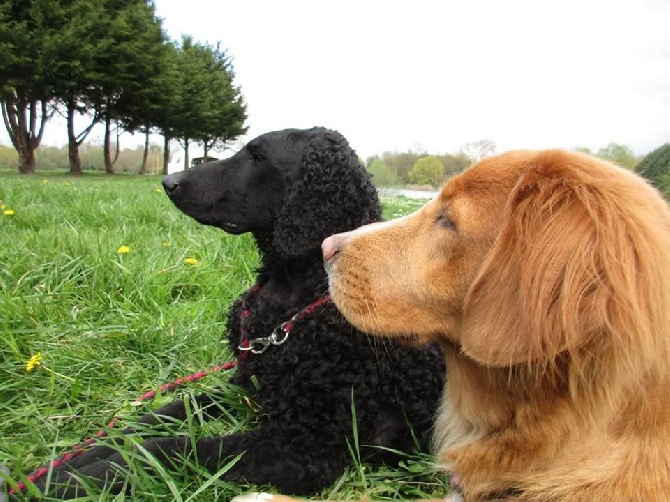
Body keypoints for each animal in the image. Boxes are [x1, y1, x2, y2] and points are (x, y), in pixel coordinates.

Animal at [34, 126, 448, 498]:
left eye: (257, 157)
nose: (168, 180)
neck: (298, 302)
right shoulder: (244, 385)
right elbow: (162, 414)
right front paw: (82, 456)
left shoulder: (303, 451)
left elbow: (169, 448)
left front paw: (74, 479)